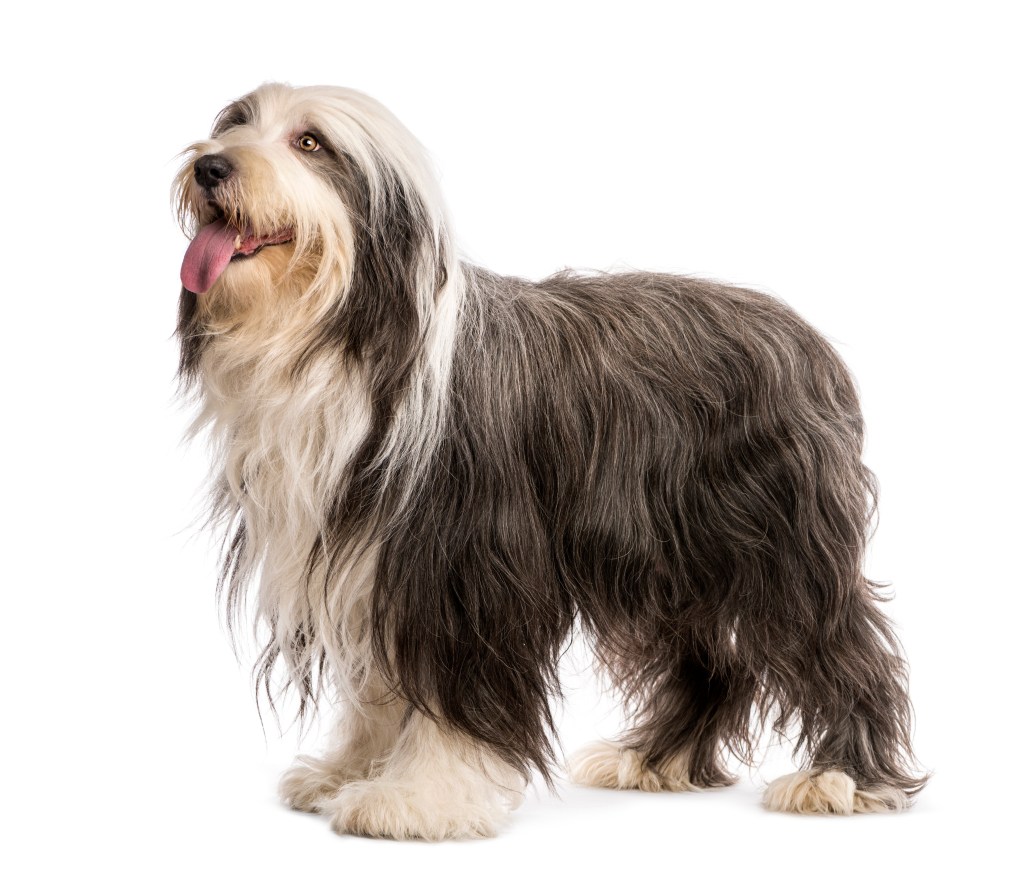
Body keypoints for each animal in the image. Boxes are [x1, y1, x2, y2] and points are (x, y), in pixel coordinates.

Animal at [174, 82, 929, 840]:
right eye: (234, 123)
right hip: (666, 555)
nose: (210, 167)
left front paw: (420, 796)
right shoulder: (366, 557)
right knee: (710, 659)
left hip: (781, 541)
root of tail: (806, 339)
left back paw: (840, 777)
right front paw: (352, 770)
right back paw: (654, 760)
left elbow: (451, 689)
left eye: (310, 143)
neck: (348, 333)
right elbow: (381, 687)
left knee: (840, 644)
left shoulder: (463, 562)